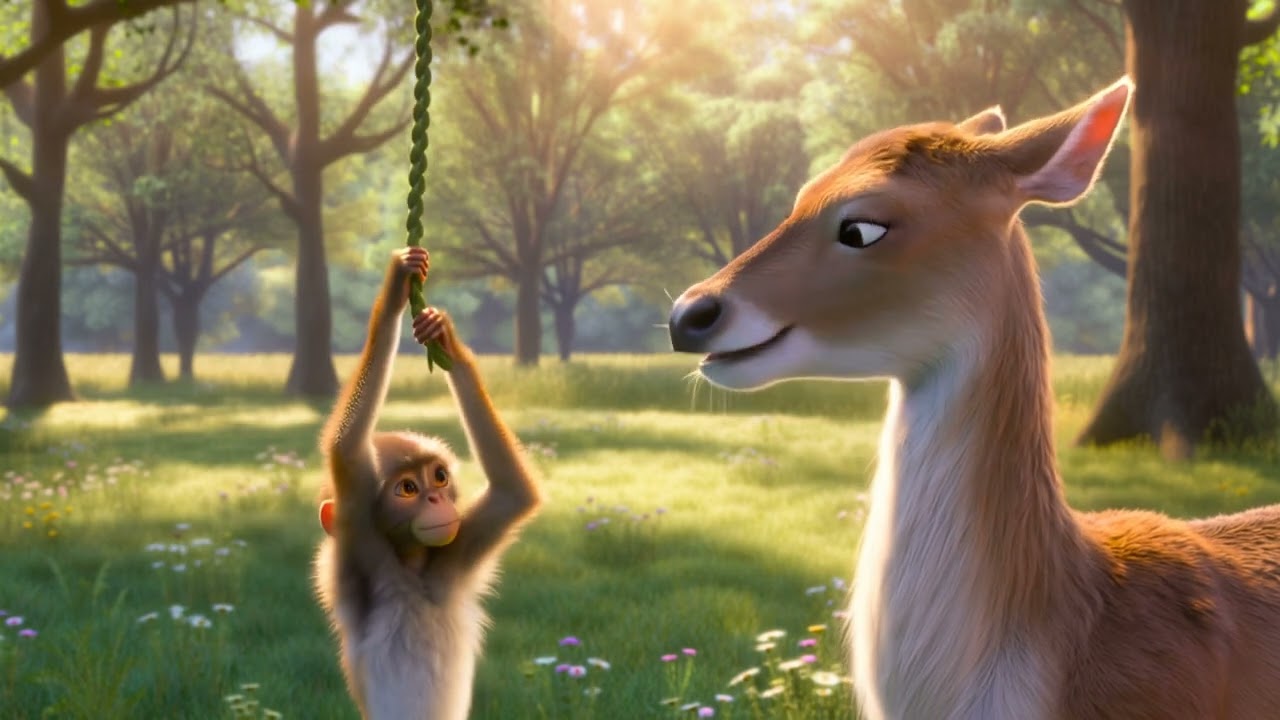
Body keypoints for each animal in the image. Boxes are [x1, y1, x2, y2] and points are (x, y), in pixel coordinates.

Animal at [312, 246, 543, 720]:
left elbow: (513, 492)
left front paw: (445, 336)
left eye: (438, 477)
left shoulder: (453, 553)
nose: (438, 499)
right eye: (408, 489)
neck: (411, 566)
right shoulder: (359, 547)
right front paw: (394, 289)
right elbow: (346, 451)